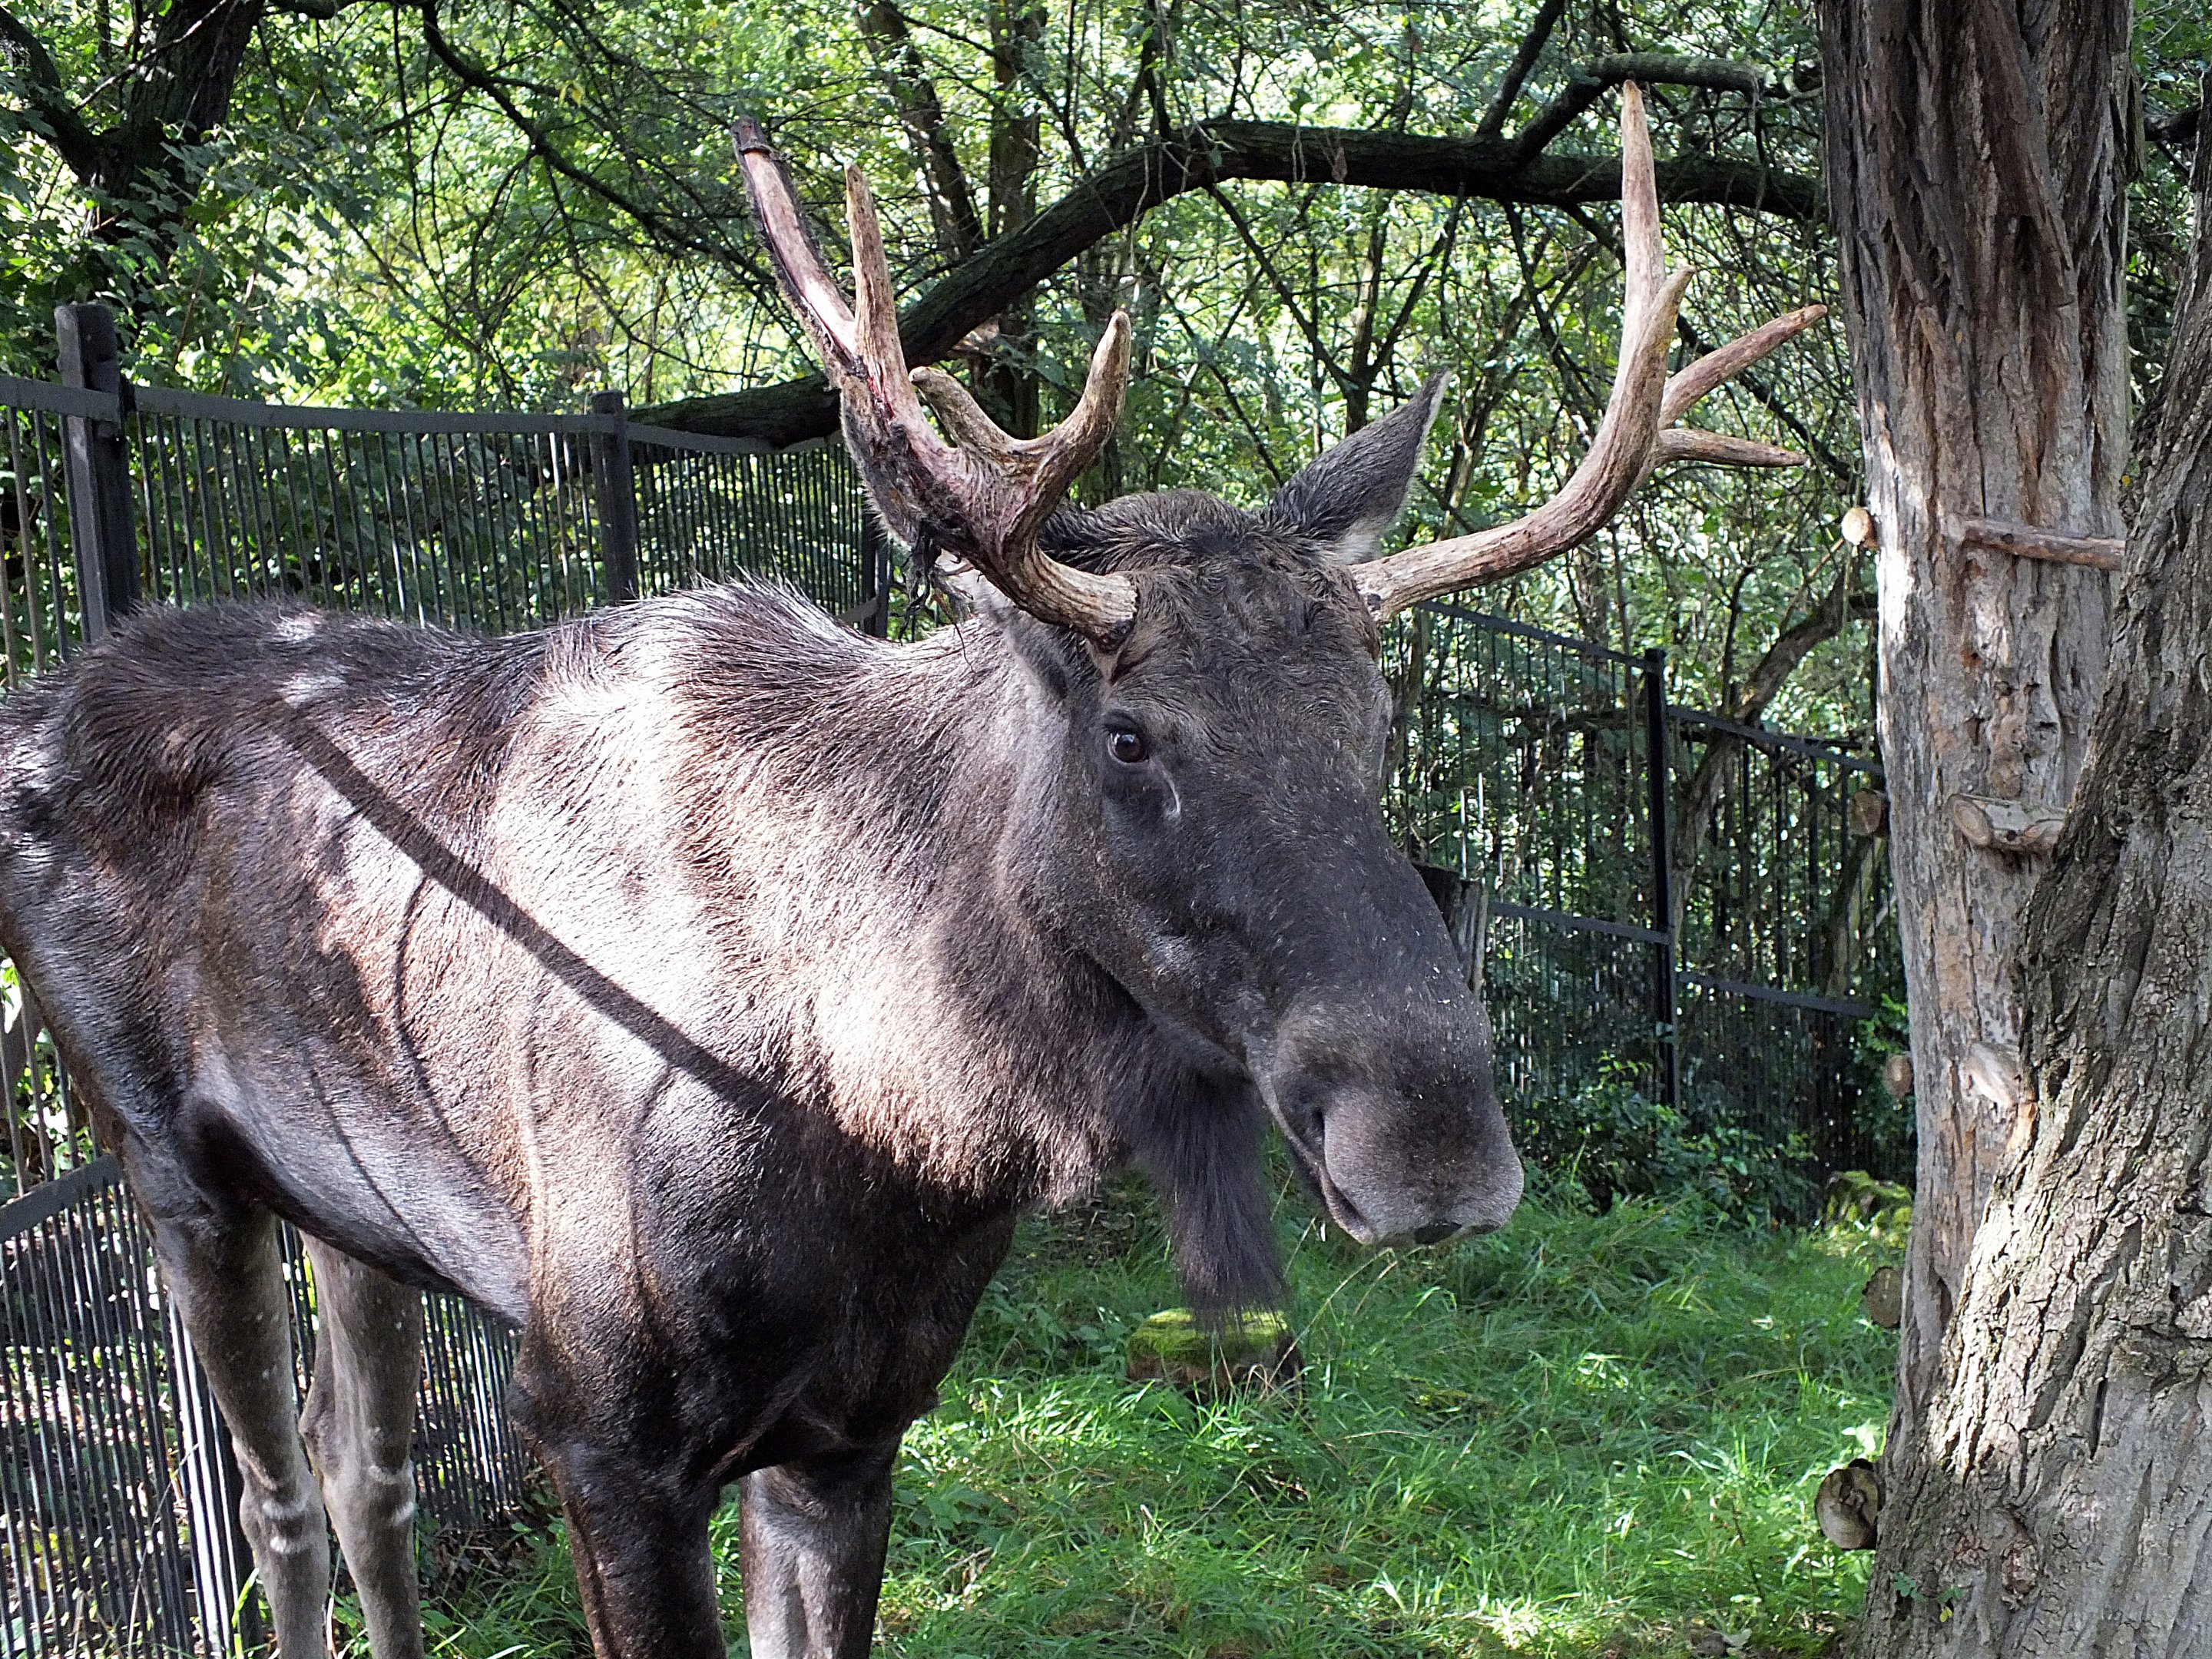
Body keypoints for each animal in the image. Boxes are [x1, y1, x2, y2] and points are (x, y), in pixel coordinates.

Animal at [0, 86, 1819, 1659]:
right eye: (1128, 735)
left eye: (1378, 720)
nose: (1435, 1143)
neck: (895, 1129)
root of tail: (40, 696)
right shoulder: (592, 1427)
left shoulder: (855, 1428)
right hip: (168, 1160)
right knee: (278, 1502)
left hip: (355, 1212)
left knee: (364, 1473)